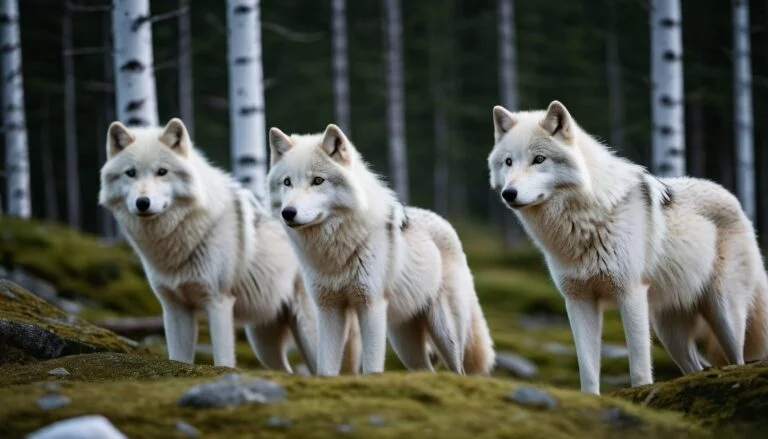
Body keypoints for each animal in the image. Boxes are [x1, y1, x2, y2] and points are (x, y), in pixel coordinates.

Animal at [98, 118, 361, 373]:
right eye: (130, 173)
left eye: (162, 172)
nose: (142, 203)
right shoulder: (175, 309)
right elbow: (178, 359)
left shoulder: (219, 303)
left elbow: (223, 360)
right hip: (263, 343)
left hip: (310, 332)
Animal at [266, 123, 495, 376]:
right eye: (287, 182)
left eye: (318, 180)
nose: (288, 213)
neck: (335, 251)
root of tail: (446, 223)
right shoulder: (328, 310)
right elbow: (326, 368)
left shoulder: (371, 307)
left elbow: (372, 366)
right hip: (405, 343)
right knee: (427, 370)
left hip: (445, 333)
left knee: (459, 370)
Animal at [487, 100, 768, 394]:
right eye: (508, 162)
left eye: (539, 159)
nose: (509, 193)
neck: (585, 221)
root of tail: (735, 201)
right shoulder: (578, 300)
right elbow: (587, 369)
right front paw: (592, 400)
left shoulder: (630, 294)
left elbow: (639, 365)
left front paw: (640, 391)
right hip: (670, 332)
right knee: (697, 367)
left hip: (724, 315)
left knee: (737, 360)